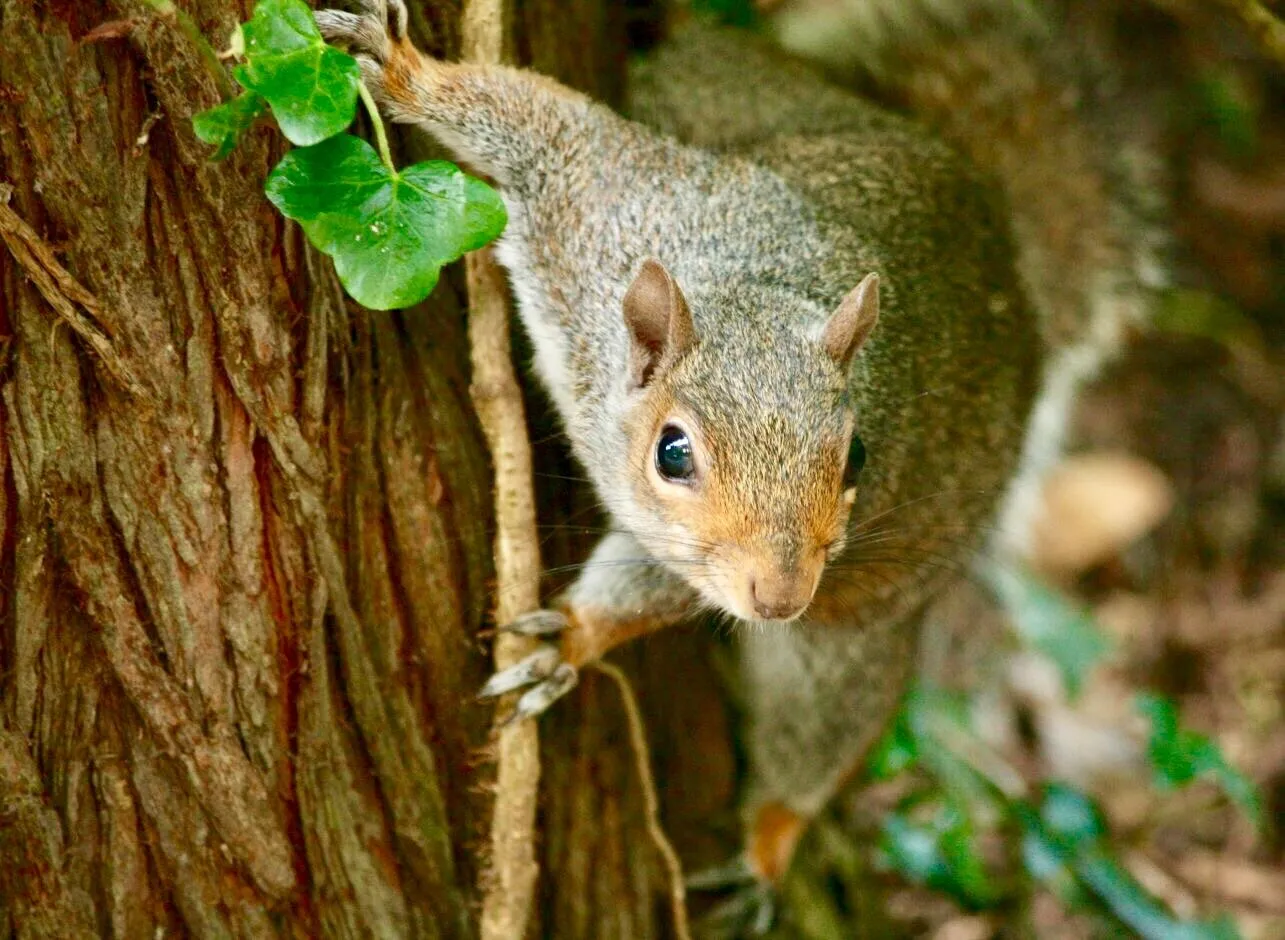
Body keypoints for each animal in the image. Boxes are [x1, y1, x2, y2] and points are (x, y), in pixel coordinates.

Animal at [315, 0, 1161, 914]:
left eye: (858, 457)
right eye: (672, 453)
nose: (780, 597)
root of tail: (1006, 255)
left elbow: (658, 586)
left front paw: (569, 638)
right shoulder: (598, 201)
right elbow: (539, 121)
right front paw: (402, 71)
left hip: (859, 627)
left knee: (824, 726)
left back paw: (767, 844)